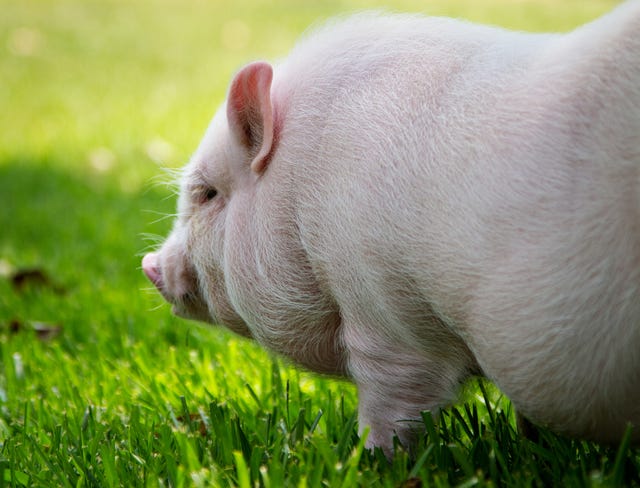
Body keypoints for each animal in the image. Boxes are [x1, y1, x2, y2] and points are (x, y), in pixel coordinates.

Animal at [144, 1, 640, 456]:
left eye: (207, 193)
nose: (149, 265)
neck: (299, 197)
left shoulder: (383, 308)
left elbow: (392, 396)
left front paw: (369, 459)